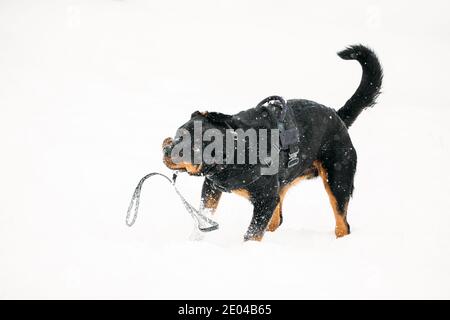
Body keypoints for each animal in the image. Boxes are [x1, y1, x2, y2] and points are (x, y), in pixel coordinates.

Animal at [163, 44, 382, 240]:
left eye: (190, 148)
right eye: (178, 134)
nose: (166, 149)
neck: (234, 153)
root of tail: (337, 116)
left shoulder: (265, 199)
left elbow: (252, 233)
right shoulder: (211, 187)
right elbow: (204, 216)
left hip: (337, 179)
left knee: (342, 223)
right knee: (277, 220)